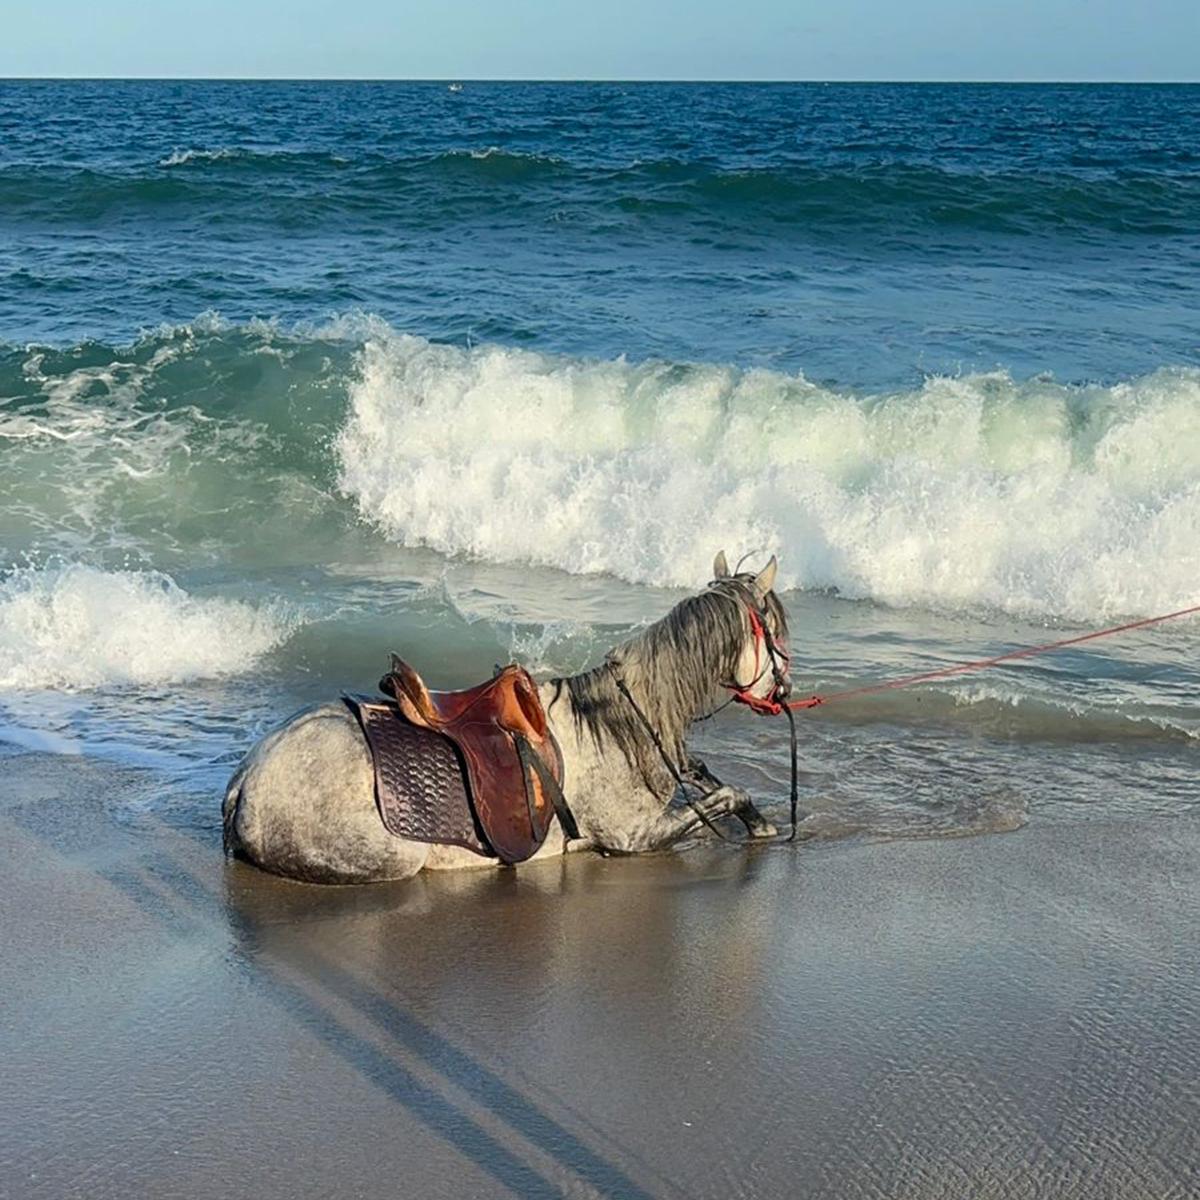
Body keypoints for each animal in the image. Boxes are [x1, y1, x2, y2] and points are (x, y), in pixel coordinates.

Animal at [222, 552, 793, 883]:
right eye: (777, 628)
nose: (786, 689)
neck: (616, 726)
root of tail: (246, 778)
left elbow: (713, 781)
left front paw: (762, 823)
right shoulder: (634, 839)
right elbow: (728, 794)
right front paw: (764, 827)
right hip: (393, 857)